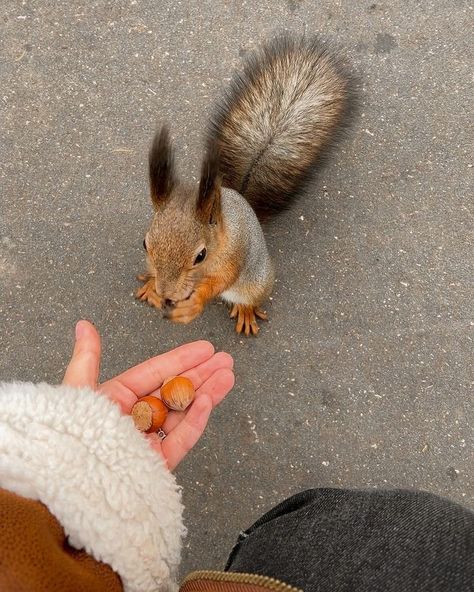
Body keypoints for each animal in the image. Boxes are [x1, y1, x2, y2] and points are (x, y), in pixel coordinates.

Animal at [134, 34, 352, 336]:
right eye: (145, 243)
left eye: (200, 255)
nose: (166, 292)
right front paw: (154, 289)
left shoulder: (235, 254)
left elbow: (221, 281)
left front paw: (193, 305)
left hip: (257, 281)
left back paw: (246, 310)